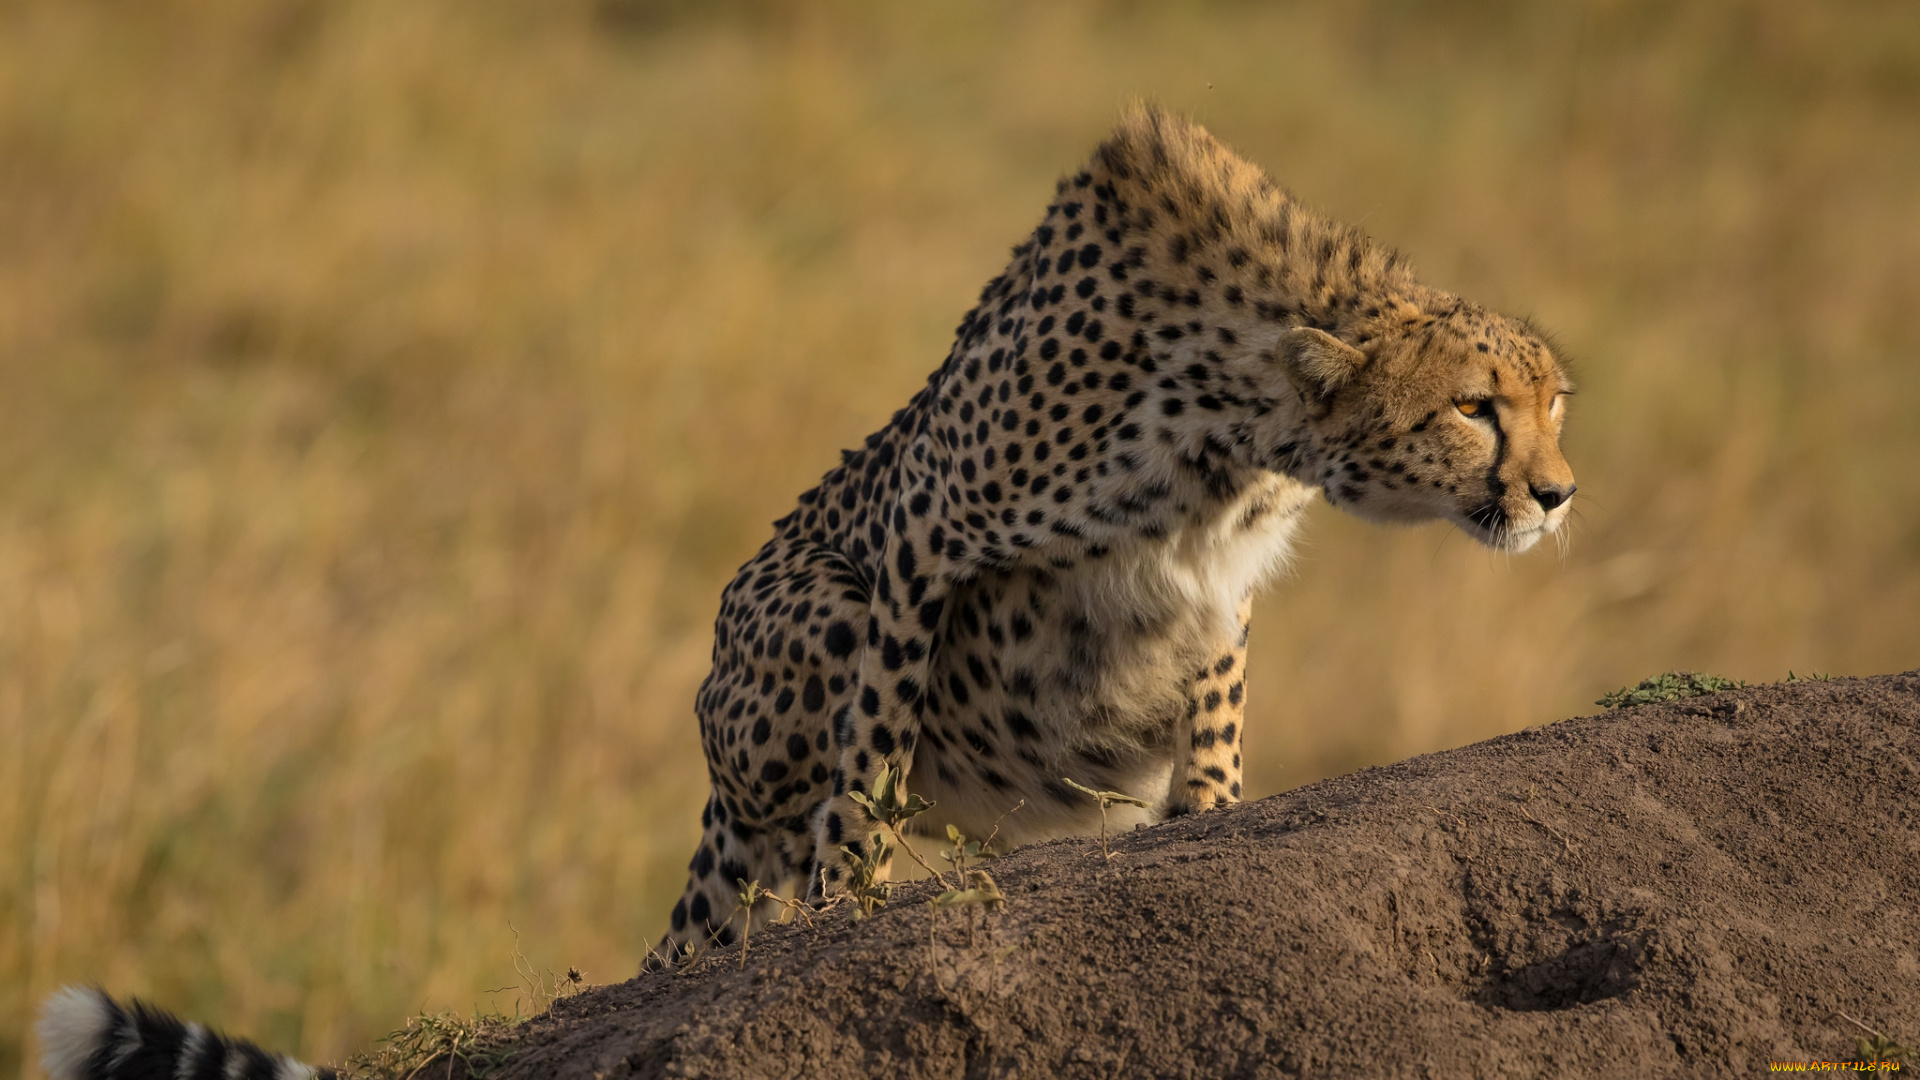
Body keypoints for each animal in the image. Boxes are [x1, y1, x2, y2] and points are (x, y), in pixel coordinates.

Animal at [652, 102, 1566, 957]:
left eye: (1555, 401)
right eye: (1473, 408)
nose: (1558, 494)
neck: (1233, 422)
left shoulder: (1223, 570)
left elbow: (1216, 691)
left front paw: (1208, 804)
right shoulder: (921, 526)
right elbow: (879, 729)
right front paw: (848, 886)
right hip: (815, 604)